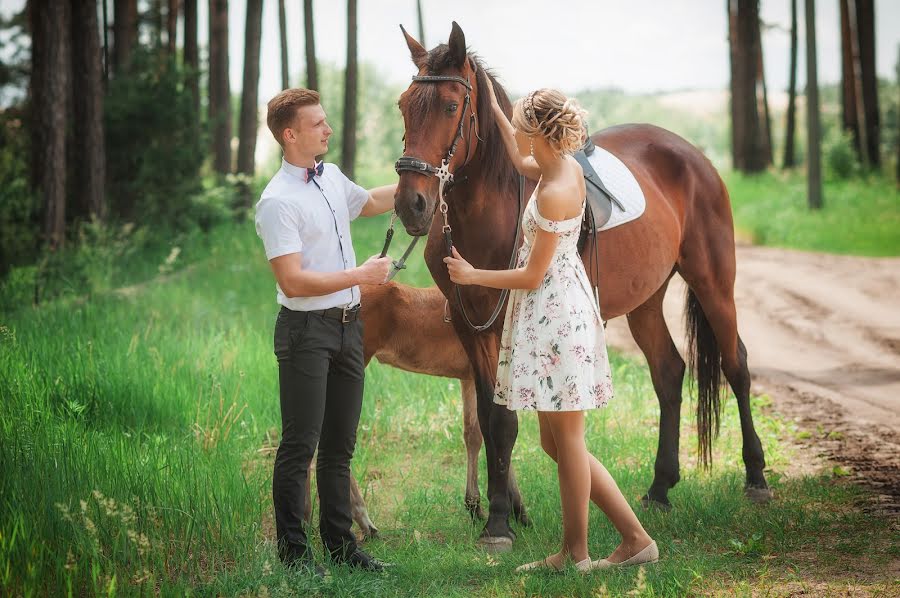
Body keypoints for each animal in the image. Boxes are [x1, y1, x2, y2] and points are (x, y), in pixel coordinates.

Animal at [394, 22, 772, 548]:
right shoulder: (473, 331)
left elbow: (503, 420)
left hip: (714, 280)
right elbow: (491, 420)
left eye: (451, 107)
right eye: (404, 105)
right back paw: (660, 489)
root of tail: (694, 156)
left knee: (736, 365)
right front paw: (503, 513)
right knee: (669, 373)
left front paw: (498, 522)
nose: (411, 204)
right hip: (645, 300)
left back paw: (755, 478)